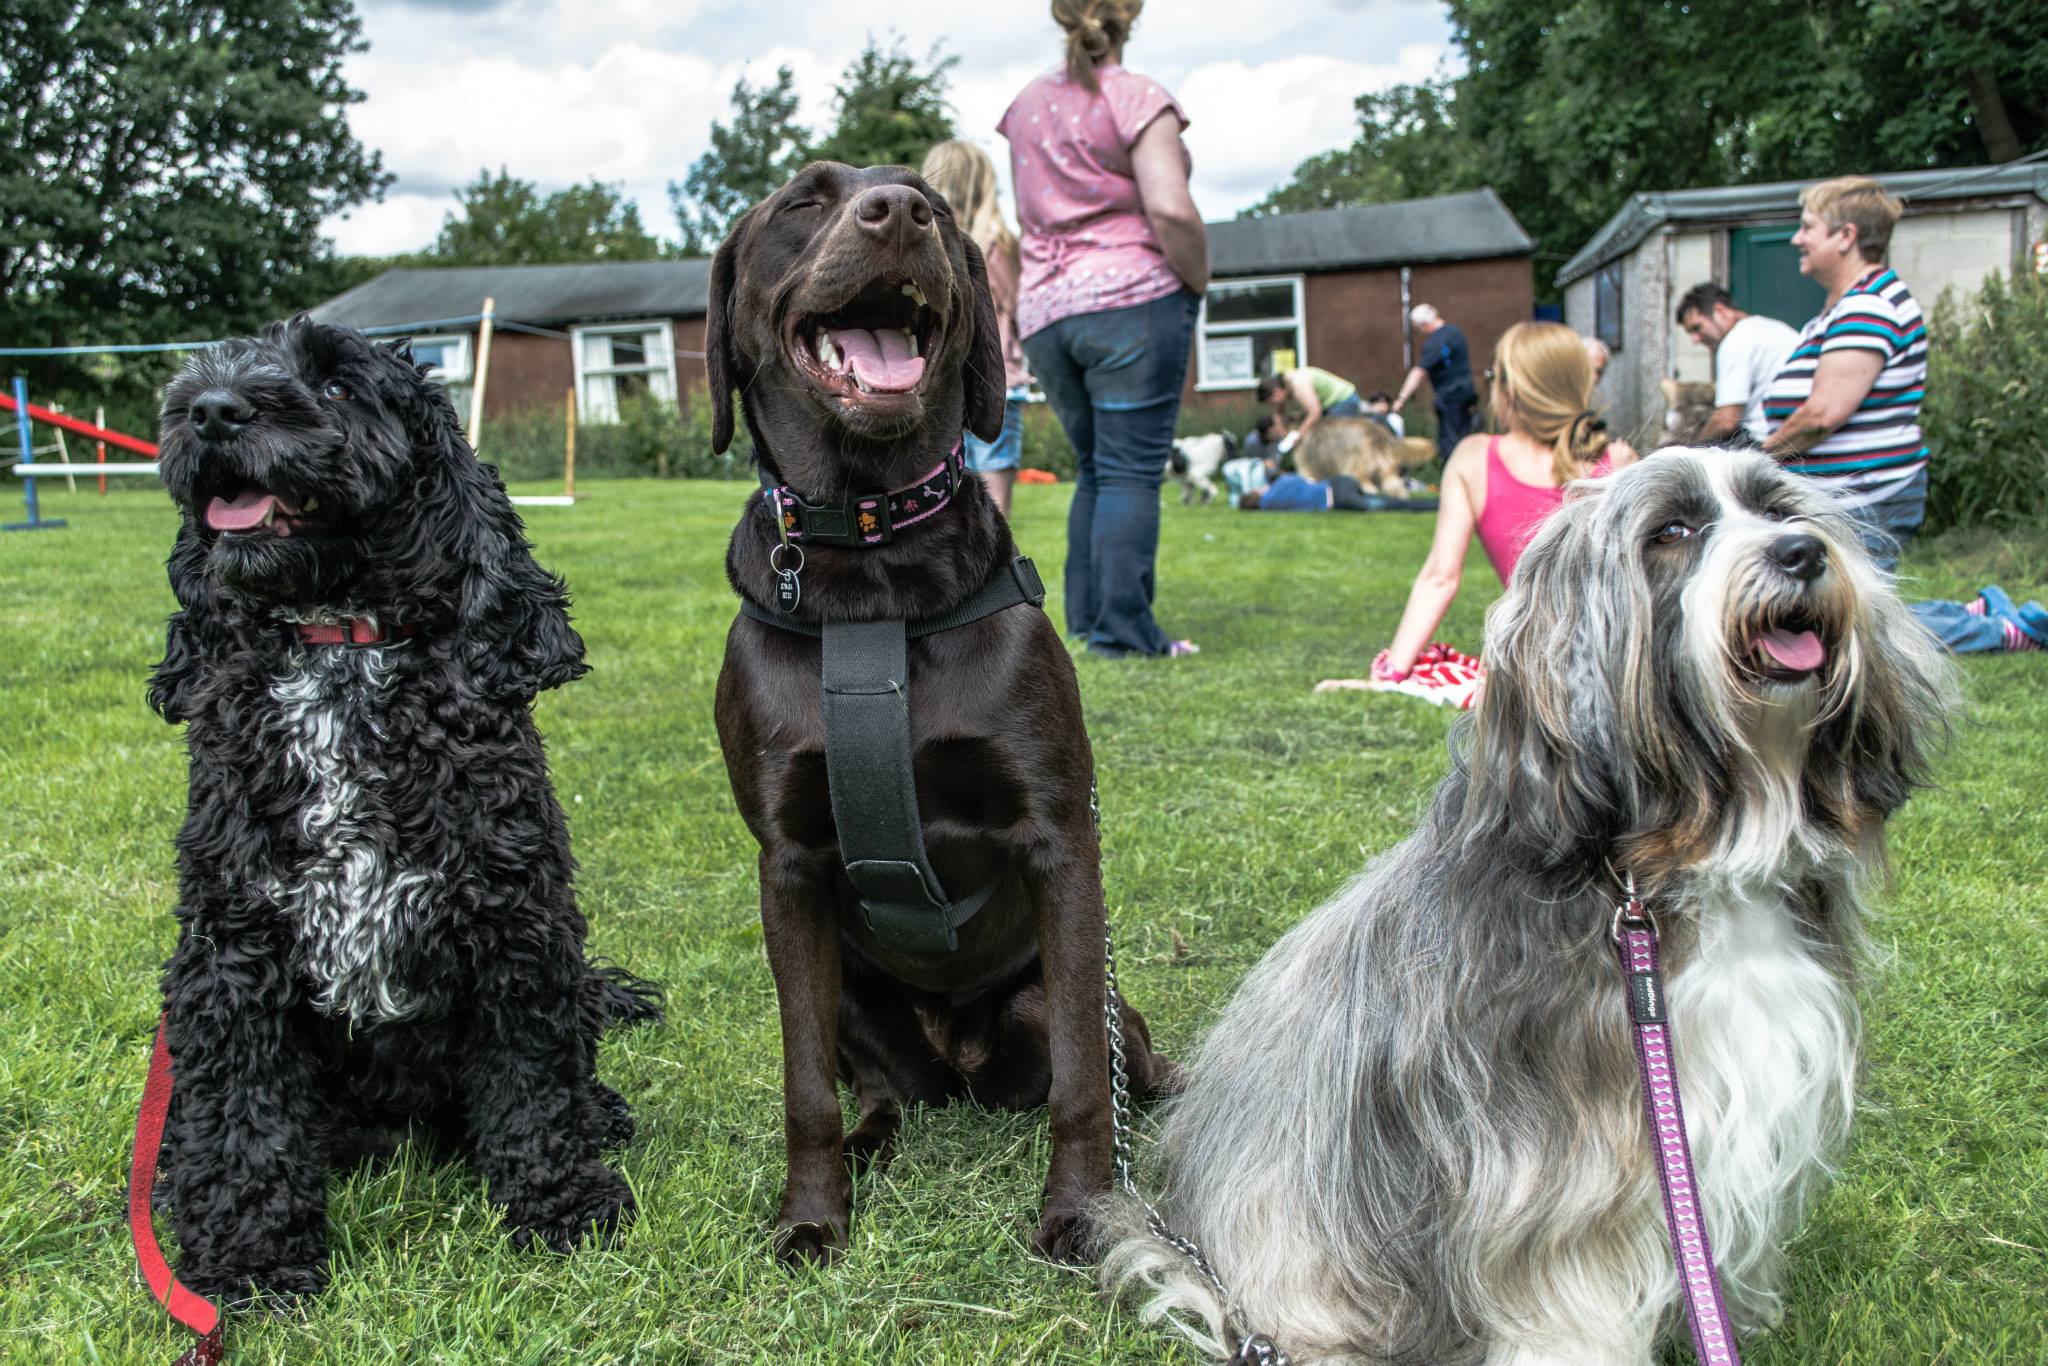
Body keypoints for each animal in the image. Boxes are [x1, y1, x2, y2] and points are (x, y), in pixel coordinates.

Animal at [149, 313, 659, 1302]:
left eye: (338, 385)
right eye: (226, 360)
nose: (211, 409)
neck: (339, 650)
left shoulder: (516, 930)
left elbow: (533, 1088)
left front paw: (562, 1203)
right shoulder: (232, 952)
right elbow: (239, 1115)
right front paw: (250, 1257)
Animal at [1105, 450, 1949, 1366]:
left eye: (1777, 506)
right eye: (1673, 531)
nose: (1802, 553)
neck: (1665, 866)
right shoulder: (1556, 1159)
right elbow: (1568, 1287)